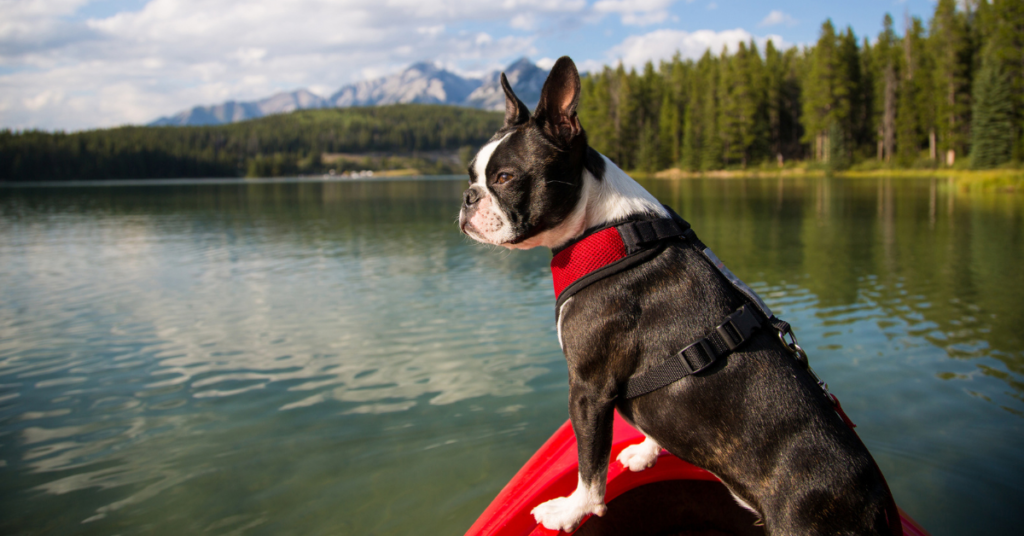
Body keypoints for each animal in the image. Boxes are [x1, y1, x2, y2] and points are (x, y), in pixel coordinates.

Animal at [456, 56, 897, 532]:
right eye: (471, 176)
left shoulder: (588, 389)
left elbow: (590, 466)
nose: (467, 197)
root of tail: (878, 507)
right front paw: (648, 451)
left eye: (505, 178)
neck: (606, 228)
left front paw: (572, 510)